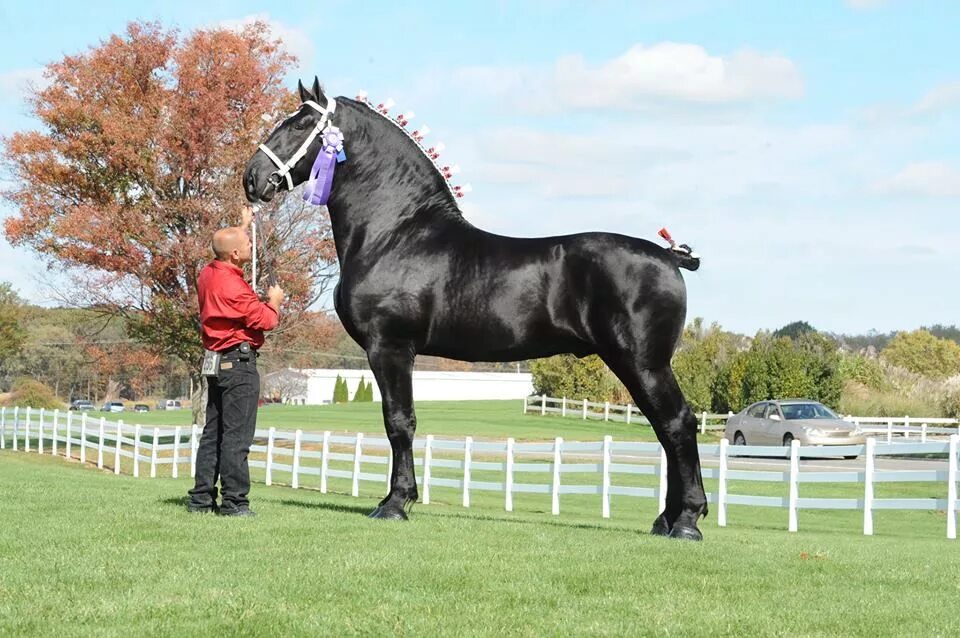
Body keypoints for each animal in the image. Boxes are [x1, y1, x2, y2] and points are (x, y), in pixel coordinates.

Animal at [244, 77, 708, 544]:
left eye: (300, 124)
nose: (252, 178)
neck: (397, 233)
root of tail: (669, 257)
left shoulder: (389, 346)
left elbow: (399, 421)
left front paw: (395, 503)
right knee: (665, 429)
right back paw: (667, 520)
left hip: (643, 362)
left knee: (677, 424)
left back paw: (687, 521)